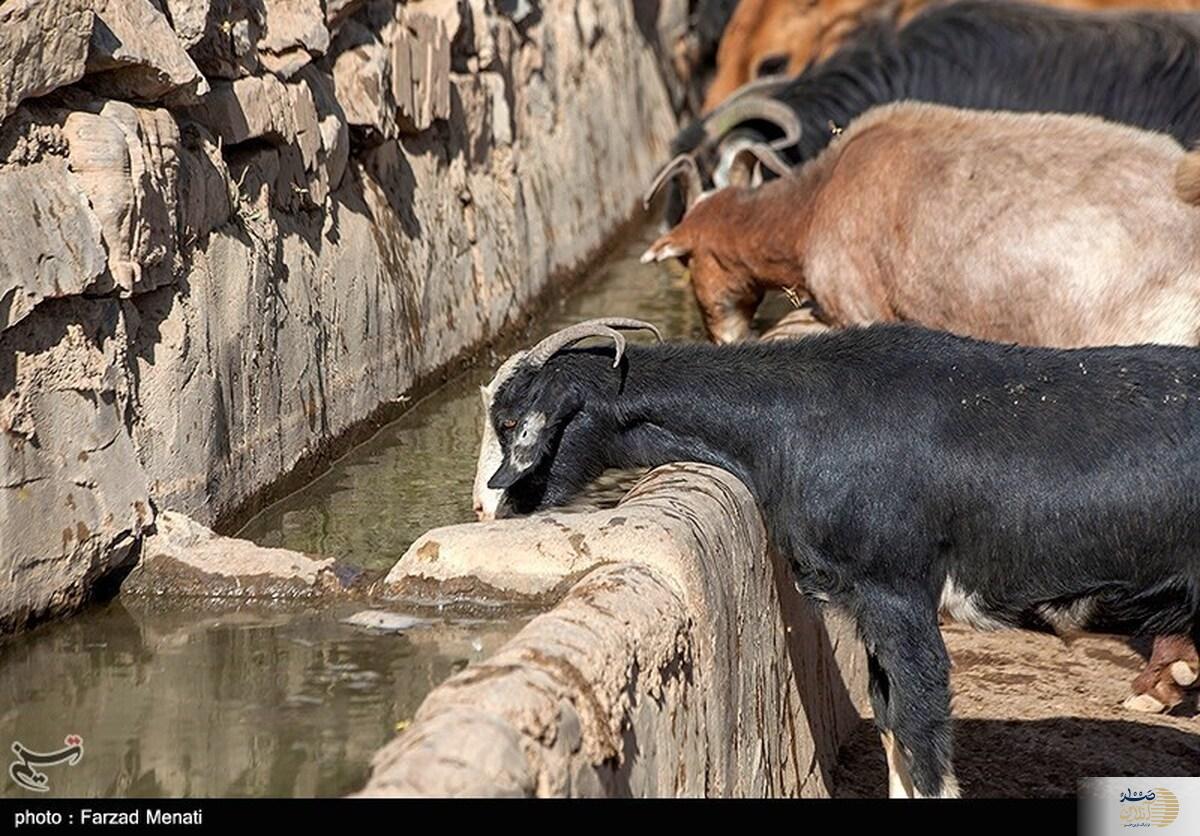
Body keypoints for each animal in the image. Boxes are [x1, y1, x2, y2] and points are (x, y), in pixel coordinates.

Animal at [472, 319, 1200, 796]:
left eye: (509, 423)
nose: (486, 508)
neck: (795, 422)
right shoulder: (869, 606)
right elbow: (890, 719)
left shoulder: (895, 592)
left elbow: (920, 726)